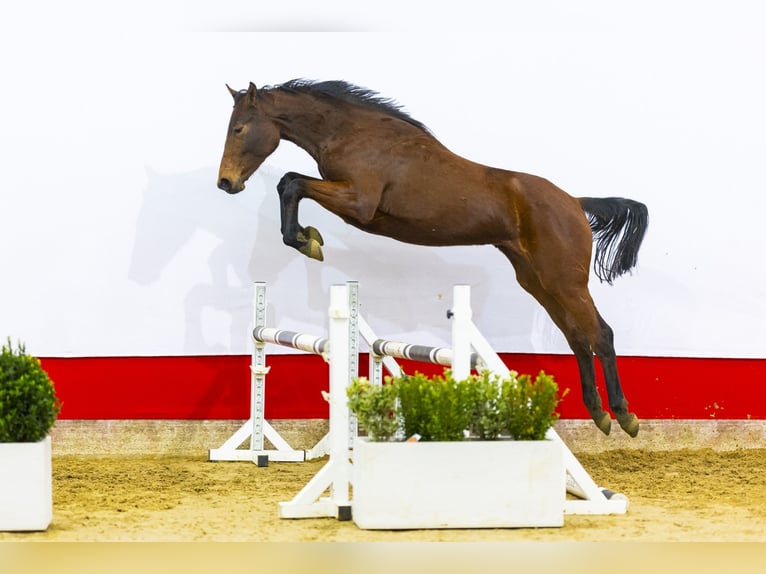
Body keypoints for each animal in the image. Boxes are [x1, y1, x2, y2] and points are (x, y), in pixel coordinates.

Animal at [216, 81, 648, 438]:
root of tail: (574, 202)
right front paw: (308, 238)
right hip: (538, 281)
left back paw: (624, 416)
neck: (351, 133)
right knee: (578, 337)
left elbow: (291, 182)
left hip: (565, 281)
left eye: (239, 128)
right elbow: (290, 183)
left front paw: (307, 240)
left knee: (600, 334)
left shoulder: (358, 203)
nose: (226, 182)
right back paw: (600, 414)